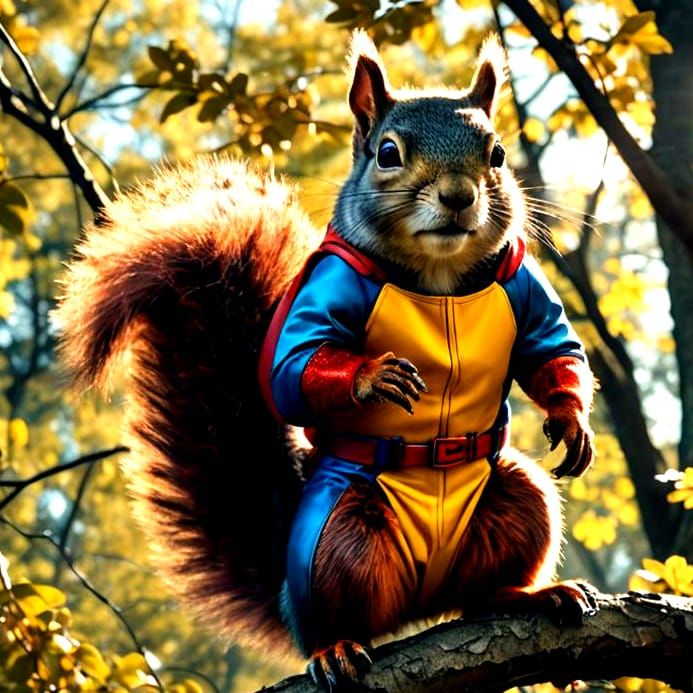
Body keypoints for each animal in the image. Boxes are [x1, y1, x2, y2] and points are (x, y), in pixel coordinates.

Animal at [56, 30, 597, 690]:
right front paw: (370, 377)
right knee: (338, 608)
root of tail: (420, 602)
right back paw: (335, 646)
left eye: (495, 153)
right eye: (387, 153)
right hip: (335, 538)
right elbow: (292, 368)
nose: (457, 196)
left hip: (521, 497)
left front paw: (571, 420)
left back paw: (531, 595)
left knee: (483, 588)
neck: (438, 279)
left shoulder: (520, 281)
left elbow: (553, 348)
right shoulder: (328, 287)